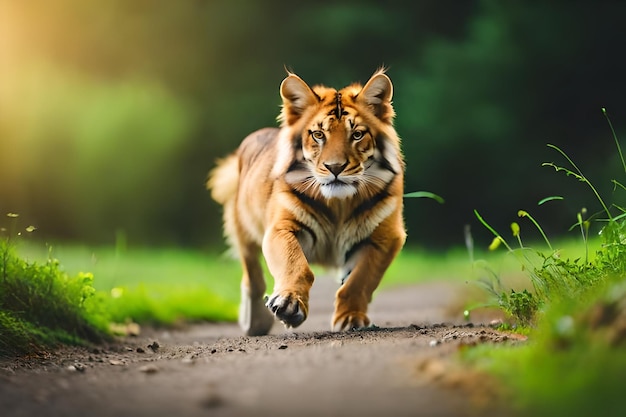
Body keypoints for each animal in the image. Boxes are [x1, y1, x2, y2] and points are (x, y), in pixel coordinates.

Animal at [207, 68, 408, 334]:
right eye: (319, 135)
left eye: (356, 134)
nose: (335, 167)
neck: (339, 205)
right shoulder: (281, 228)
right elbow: (295, 265)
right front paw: (289, 305)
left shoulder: (385, 238)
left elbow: (360, 280)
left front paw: (350, 318)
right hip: (244, 230)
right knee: (253, 276)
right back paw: (255, 323)